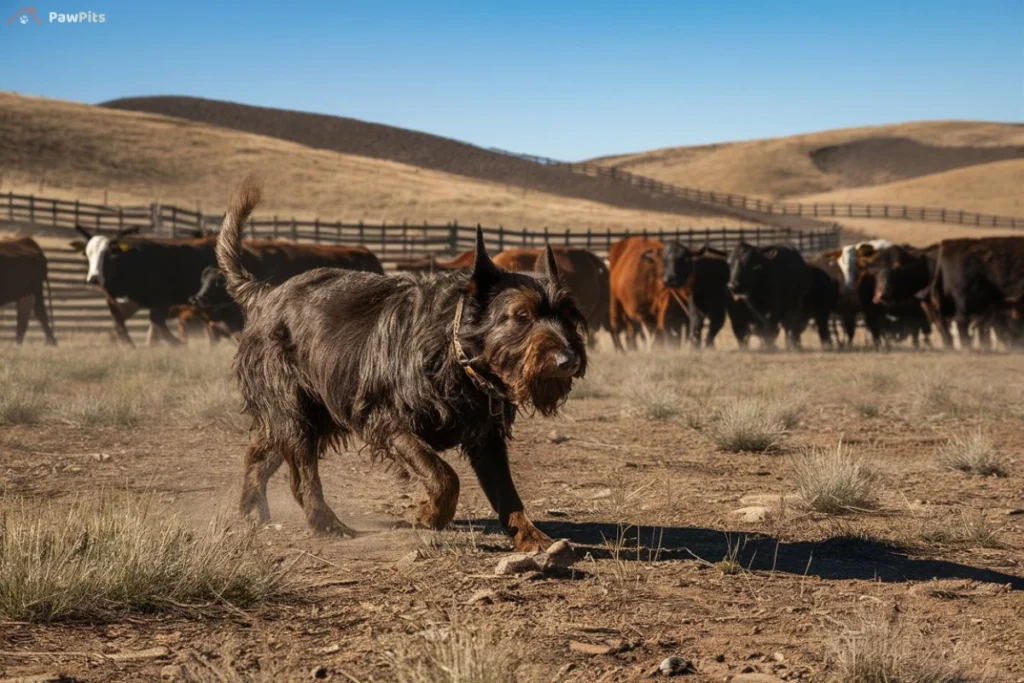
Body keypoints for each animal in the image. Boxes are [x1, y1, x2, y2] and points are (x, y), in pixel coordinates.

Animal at [218, 179, 585, 552]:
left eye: (567, 315)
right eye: (522, 315)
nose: (569, 361)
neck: (453, 355)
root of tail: (263, 295)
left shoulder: (487, 439)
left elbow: (506, 494)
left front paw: (530, 536)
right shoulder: (387, 422)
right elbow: (443, 476)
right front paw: (430, 515)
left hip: (308, 416)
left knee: (259, 452)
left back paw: (252, 509)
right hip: (294, 413)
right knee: (301, 474)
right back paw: (326, 522)